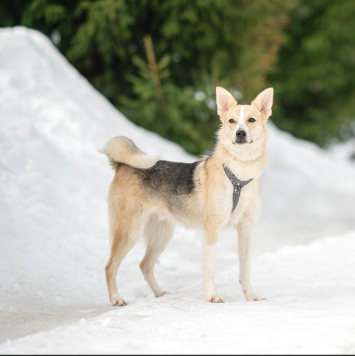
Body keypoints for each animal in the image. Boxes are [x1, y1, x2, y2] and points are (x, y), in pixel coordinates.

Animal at [101, 87, 274, 306]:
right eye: (231, 121)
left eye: (251, 120)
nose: (240, 133)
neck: (239, 174)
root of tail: (122, 165)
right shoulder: (212, 229)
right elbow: (209, 270)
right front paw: (212, 296)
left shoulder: (247, 228)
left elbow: (245, 271)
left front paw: (250, 298)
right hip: (129, 231)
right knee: (110, 266)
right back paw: (116, 299)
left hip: (162, 235)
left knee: (144, 265)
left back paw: (159, 294)